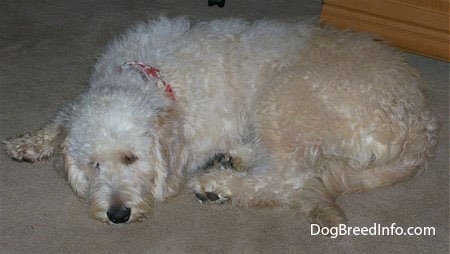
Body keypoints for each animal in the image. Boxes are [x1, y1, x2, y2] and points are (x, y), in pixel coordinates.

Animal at [3, 16, 436, 225]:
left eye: (131, 159)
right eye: (93, 165)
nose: (117, 215)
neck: (151, 77)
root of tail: (422, 125)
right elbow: (60, 118)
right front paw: (28, 143)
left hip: (285, 98)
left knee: (286, 178)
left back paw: (217, 183)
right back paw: (234, 160)